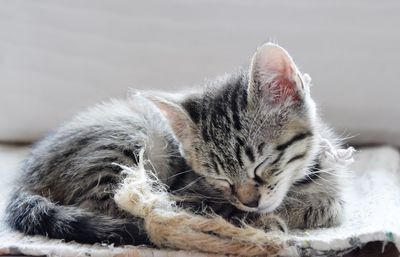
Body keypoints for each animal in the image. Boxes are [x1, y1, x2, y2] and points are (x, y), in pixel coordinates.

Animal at [4, 43, 352, 245]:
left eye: (263, 163)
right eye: (219, 177)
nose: (251, 203)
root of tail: (25, 177)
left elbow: (331, 205)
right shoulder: (189, 190)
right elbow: (210, 204)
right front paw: (264, 220)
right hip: (130, 140)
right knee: (130, 209)